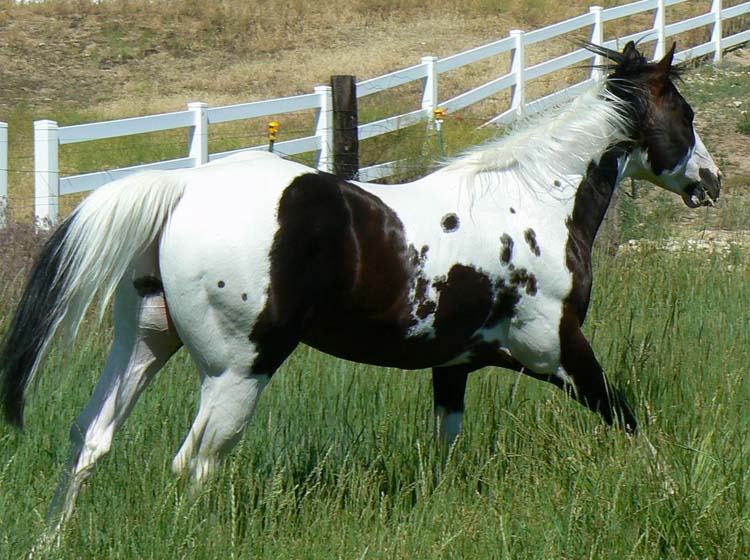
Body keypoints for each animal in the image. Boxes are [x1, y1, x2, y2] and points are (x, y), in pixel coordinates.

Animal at [0, 41, 724, 532]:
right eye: (685, 114)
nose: (711, 181)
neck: (532, 202)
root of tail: (183, 188)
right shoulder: (558, 351)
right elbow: (627, 417)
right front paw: (671, 492)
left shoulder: (452, 366)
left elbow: (446, 448)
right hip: (238, 369)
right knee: (196, 461)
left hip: (148, 343)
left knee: (90, 439)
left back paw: (50, 539)